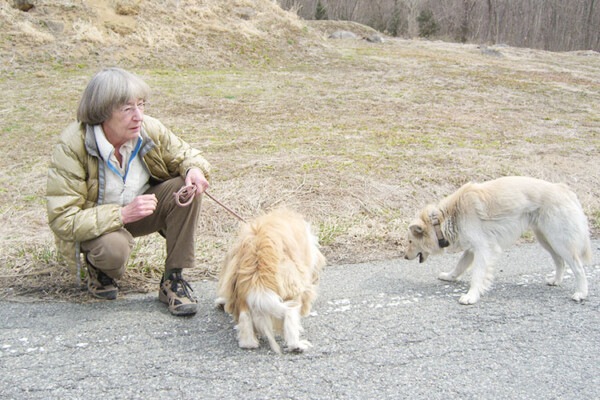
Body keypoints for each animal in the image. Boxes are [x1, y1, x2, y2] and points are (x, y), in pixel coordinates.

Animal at [215, 207, 326, 353]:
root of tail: (260, 249)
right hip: (291, 288)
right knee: (290, 315)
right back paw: (297, 345)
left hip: (240, 287)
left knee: (245, 316)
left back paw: (248, 343)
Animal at [404, 176, 591, 305]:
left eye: (410, 242)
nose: (405, 257)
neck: (444, 220)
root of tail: (564, 189)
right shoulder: (472, 248)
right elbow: (460, 266)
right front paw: (450, 277)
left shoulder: (483, 249)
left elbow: (477, 275)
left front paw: (471, 296)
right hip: (546, 240)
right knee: (560, 262)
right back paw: (556, 281)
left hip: (559, 241)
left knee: (578, 267)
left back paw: (581, 293)